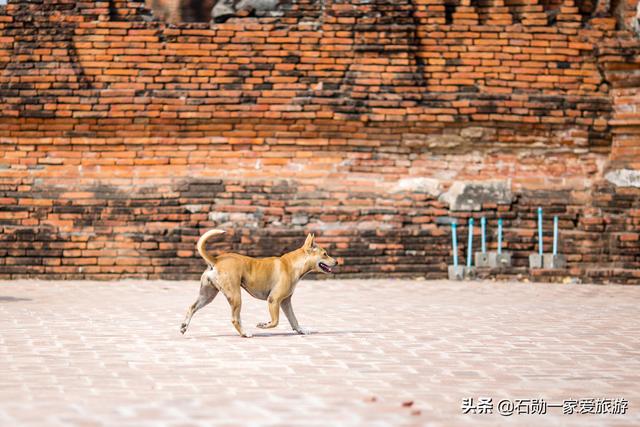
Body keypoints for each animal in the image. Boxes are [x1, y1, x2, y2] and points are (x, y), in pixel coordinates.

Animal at [178, 231, 338, 338]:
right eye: (325, 254)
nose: (337, 262)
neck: (294, 264)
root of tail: (216, 260)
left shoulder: (286, 302)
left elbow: (293, 319)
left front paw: (301, 330)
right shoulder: (274, 300)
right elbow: (275, 321)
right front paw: (263, 325)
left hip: (207, 296)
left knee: (192, 307)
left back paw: (184, 327)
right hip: (236, 296)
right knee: (235, 319)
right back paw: (245, 333)